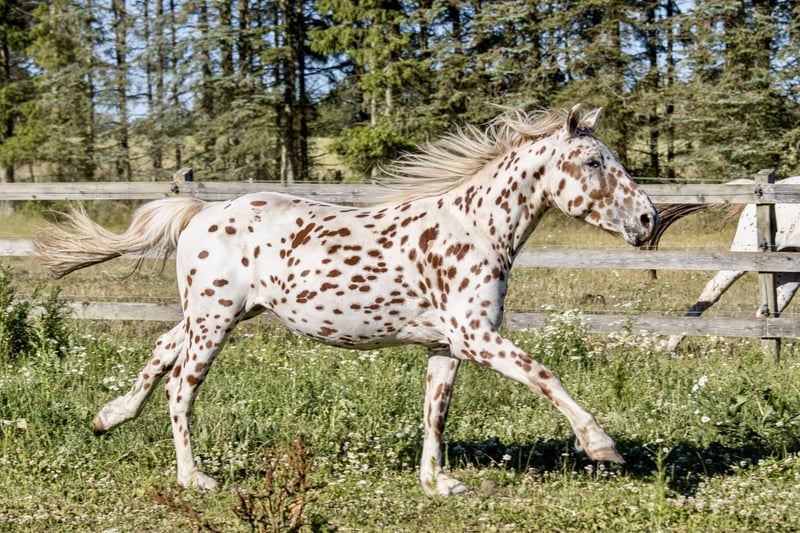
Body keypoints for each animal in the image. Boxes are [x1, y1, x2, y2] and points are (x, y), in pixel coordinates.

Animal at [35, 105, 658, 496]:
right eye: (595, 162)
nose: (650, 219)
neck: (476, 228)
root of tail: (201, 212)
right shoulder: (478, 337)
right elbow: (545, 375)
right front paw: (602, 447)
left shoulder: (447, 345)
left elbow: (435, 412)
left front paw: (438, 484)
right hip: (214, 321)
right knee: (179, 387)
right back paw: (195, 478)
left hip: (209, 315)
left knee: (162, 351)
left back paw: (108, 418)